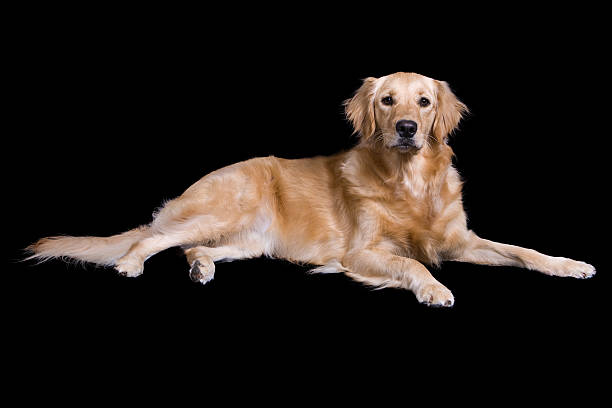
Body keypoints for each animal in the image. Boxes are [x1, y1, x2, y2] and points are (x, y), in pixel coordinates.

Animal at [26, 72, 596, 306]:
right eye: (387, 100)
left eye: (425, 102)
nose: (407, 128)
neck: (408, 181)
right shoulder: (362, 252)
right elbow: (410, 263)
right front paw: (434, 288)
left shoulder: (460, 241)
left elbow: (521, 250)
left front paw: (569, 264)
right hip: (227, 207)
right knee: (154, 236)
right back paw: (131, 263)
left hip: (253, 241)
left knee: (191, 246)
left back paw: (201, 267)